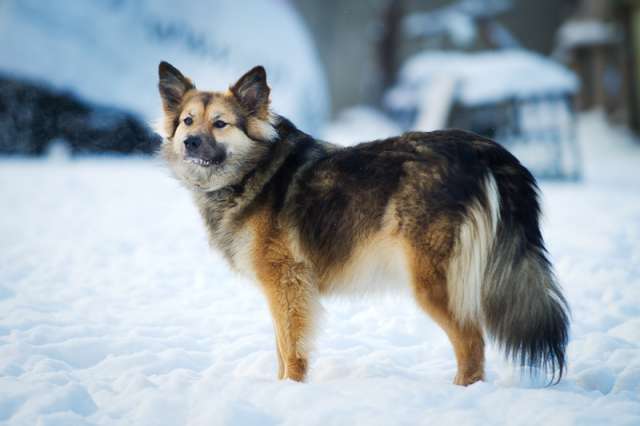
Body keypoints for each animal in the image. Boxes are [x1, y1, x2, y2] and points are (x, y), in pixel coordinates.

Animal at [158, 60, 568, 386]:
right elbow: (279, 347)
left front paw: (290, 388)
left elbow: (290, 348)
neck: (254, 171)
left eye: (221, 124)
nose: (191, 142)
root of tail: (483, 148)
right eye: (187, 121)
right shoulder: (282, 288)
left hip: (431, 281)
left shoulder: (286, 282)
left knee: (472, 343)